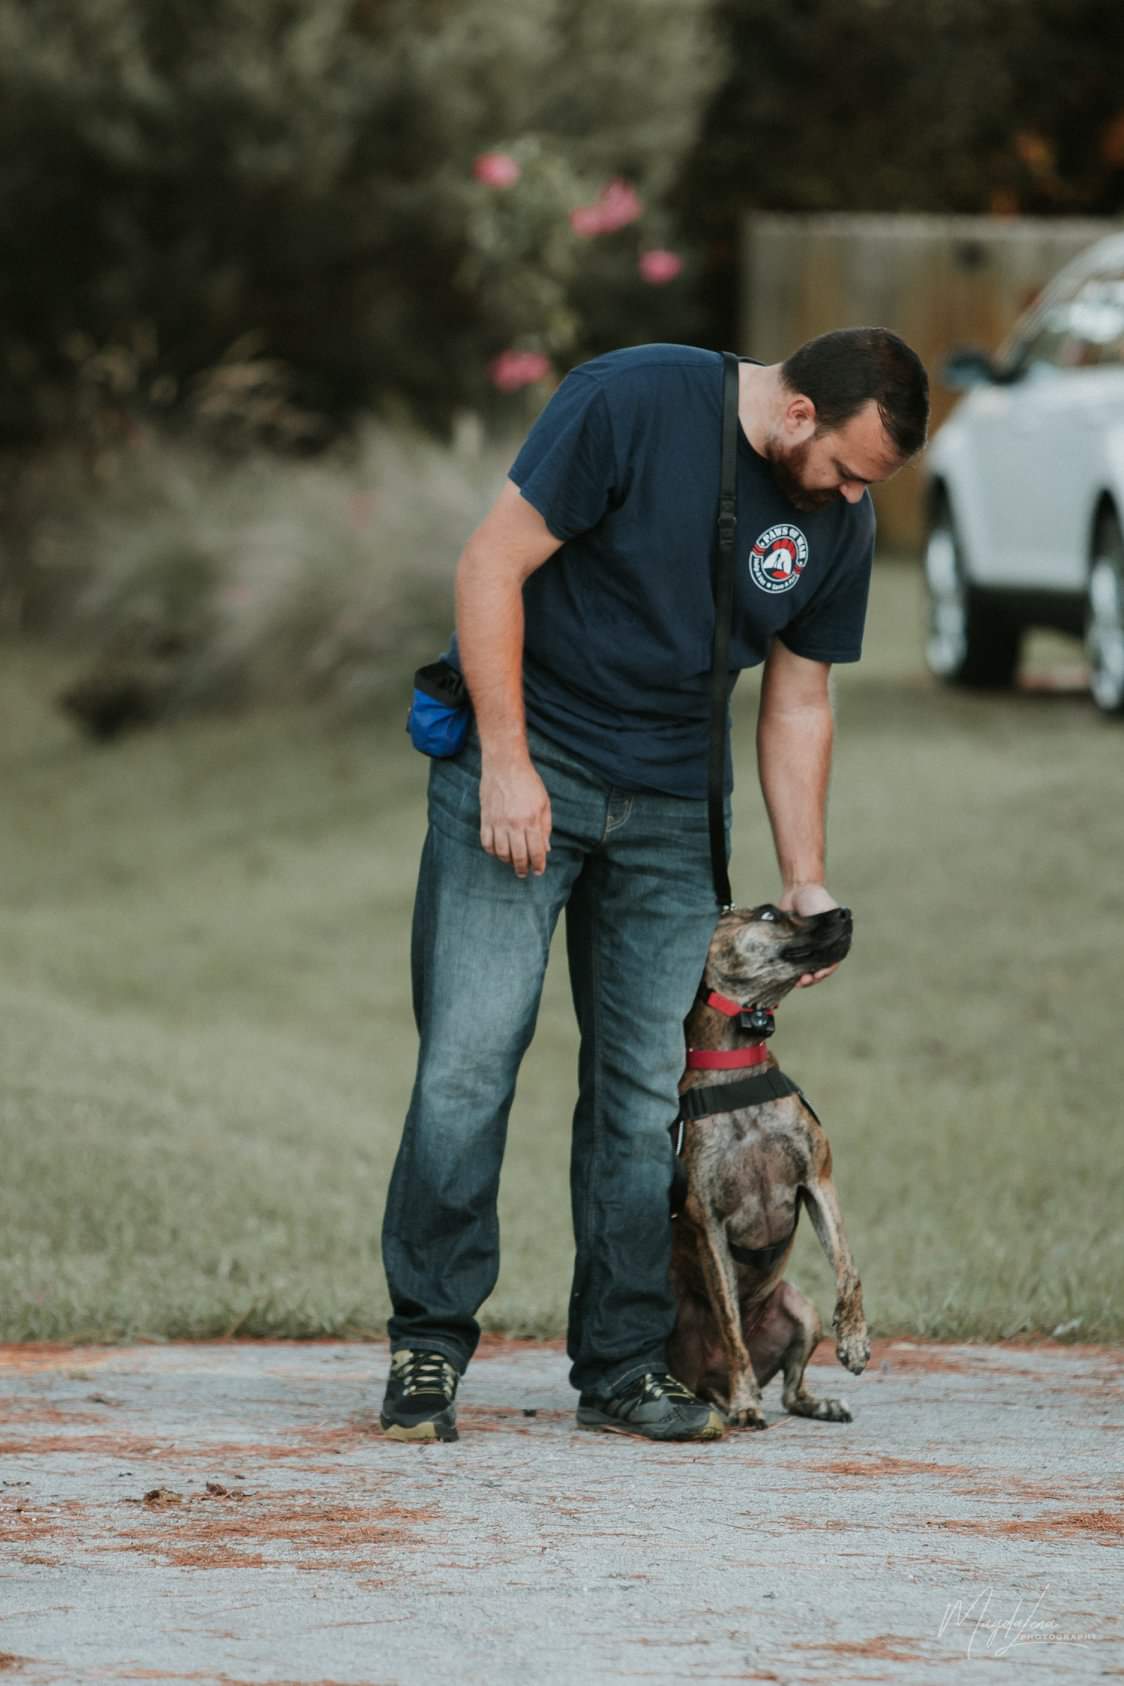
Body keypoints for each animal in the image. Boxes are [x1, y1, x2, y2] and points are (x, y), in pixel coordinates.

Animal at [667, 903, 870, 1429]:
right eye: (768, 914)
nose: (844, 910)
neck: (736, 1069)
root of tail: (709, 1384)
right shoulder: (709, 1224)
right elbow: (731, 1326)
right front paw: (745, 1404)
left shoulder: (818, 1182)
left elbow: (848, 1267)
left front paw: (855, 1340)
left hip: (800, 1310)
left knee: (792, 1391)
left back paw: (819, 1403)